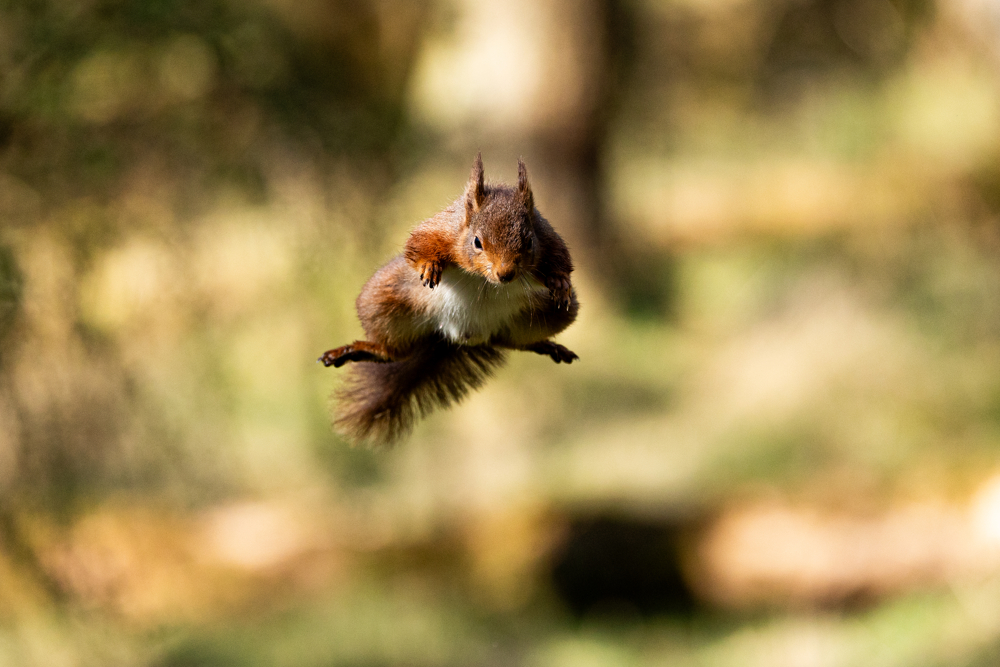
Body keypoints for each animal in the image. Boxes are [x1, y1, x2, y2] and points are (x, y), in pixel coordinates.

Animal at [319, 153, 580, 446]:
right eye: (477, 242)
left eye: (529, 243)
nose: (505, 274)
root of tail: (455, 338)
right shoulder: (444, 230)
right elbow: (418, 244)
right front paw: (430, 265)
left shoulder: (547, 236)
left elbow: (561, 258)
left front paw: (560, 282)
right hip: (382, 299)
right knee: (393, 352)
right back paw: (359, 349)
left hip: (548, 314)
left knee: (509, 341)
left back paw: (545, 345)